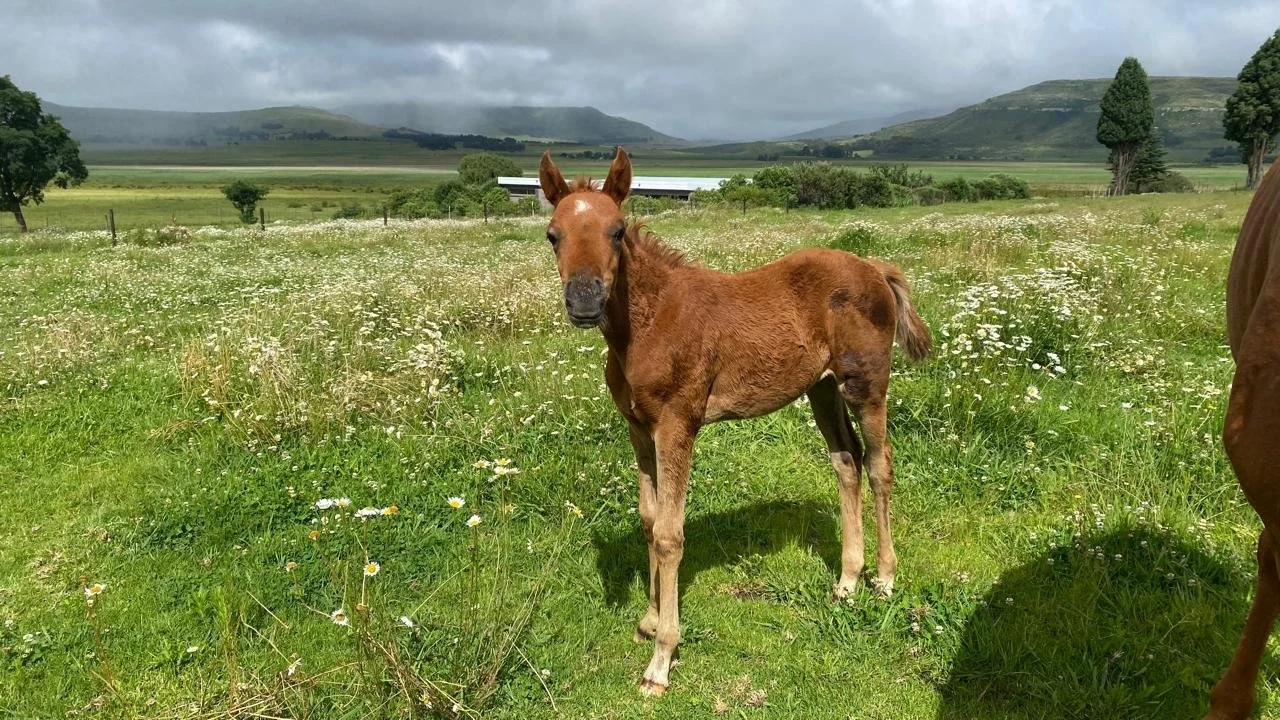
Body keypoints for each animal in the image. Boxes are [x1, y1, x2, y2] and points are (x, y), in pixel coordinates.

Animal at [538, 147, 932, 695]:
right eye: (553, 234)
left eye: (616, 231)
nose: (584, 301)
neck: (648, 322)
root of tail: (874, 267)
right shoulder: (638, 428)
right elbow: (649, 520)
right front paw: (648, 621)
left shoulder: (677, 424)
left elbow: (670, 533)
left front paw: (662, 658)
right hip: (821, 388)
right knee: (846, 461)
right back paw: (847, 582)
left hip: (866, 385)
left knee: (879, 465)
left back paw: (885, 578)